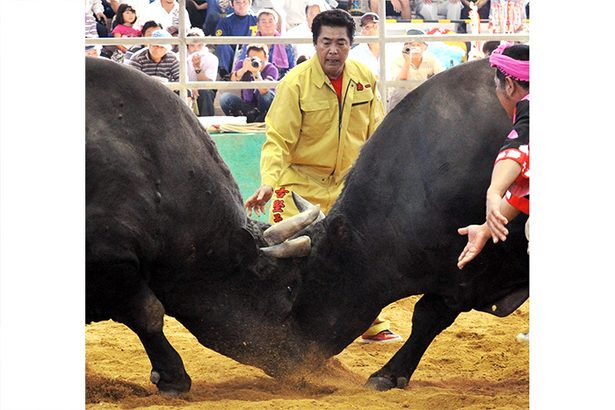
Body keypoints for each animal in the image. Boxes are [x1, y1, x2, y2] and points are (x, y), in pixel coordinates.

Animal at [85, 56, 528, 394]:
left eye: (299, 286)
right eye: (281, 288)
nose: (295, 360)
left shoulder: (467, 270)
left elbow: (428, 316)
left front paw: (389, 373)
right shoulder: (110, 259)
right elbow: (148, 312)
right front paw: (173, 376)